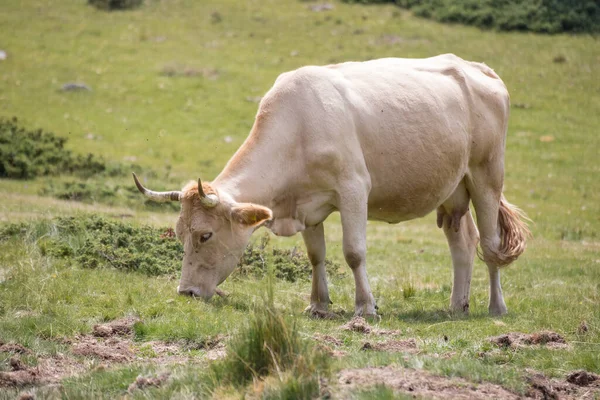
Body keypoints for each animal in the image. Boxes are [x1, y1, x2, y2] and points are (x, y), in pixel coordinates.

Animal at [132, 53, 528, 318]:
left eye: (206, 235)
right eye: (179, 234)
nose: (186, 292)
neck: (298, 127)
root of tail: (478, 67)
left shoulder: (353, 190)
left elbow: (353, 252)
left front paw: (366, 307)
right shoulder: (306, 204)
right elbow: (316, 255)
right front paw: (318, 305)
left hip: (486, 176)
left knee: (490, 244)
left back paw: (496, 307)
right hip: (452, 189)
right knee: (463, 243)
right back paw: (457, 305)